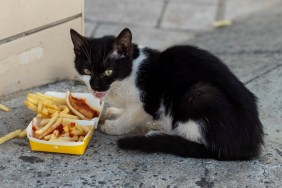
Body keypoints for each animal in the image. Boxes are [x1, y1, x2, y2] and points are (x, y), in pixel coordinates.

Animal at [69, 27, 264, 160]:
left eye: (108, 72)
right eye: (87, 71)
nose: (96, 87)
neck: (131, 72)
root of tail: (249, 146)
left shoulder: (150, 102)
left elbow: (131, 117)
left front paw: (113, 126)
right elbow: (126, 110)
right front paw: (115, 112)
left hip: (199, 94)